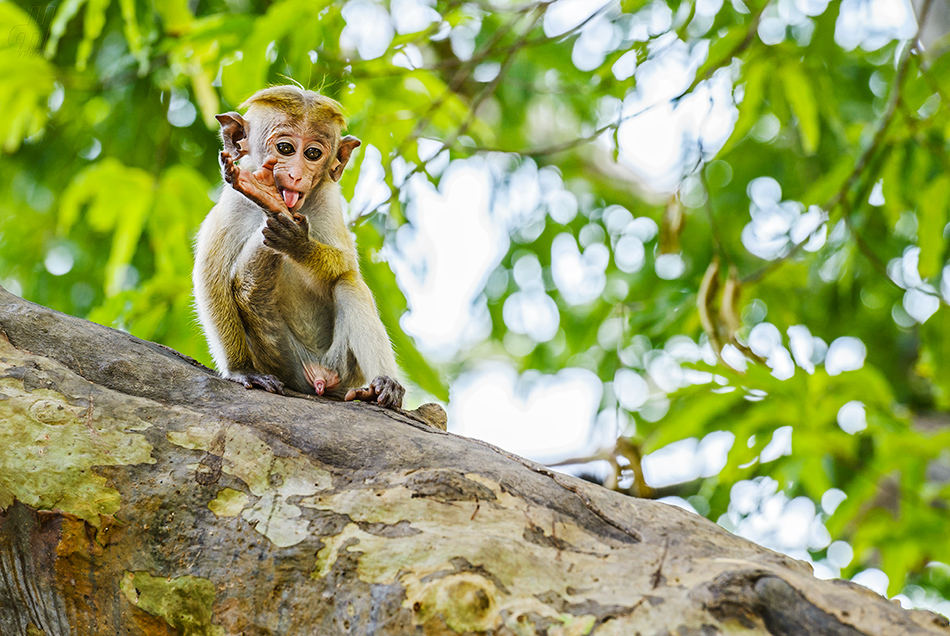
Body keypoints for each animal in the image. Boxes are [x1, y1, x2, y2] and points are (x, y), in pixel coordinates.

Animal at [193, 84, 406, 410]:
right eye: (285, 149)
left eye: (313, 153)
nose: (296, 174)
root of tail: (318, 376)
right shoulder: (230, 206)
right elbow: (210, 277)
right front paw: (241, 369)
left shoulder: (328, 201)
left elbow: (347, 265)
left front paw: (298, 243)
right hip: (284, 361)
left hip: (344, 369)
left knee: (349, 285)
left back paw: (382, 385)